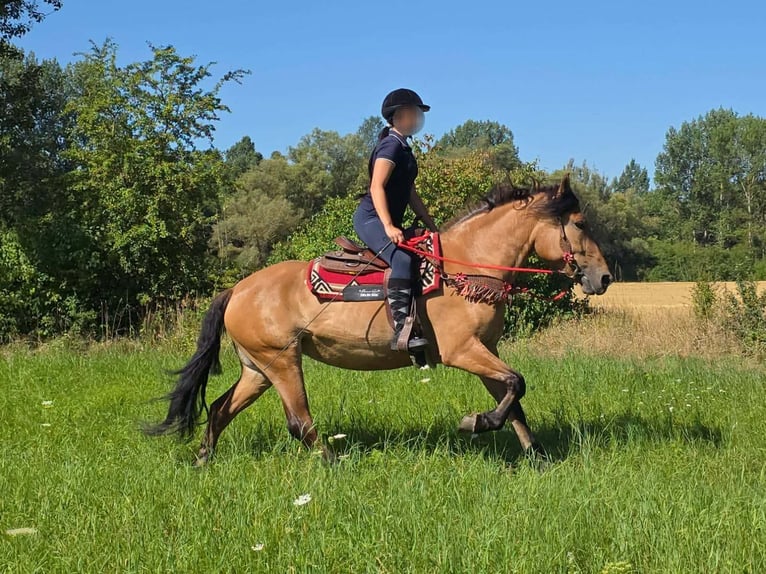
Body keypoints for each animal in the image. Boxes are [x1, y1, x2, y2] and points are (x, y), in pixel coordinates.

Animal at [145, 174, 613, 464]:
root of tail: (237, 290)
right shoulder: (462, 351)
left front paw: (537, 458)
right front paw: (475, 422)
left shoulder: (485, 350)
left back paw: (203, 460)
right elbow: (517, 383)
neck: (466, 267)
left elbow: (514, 400)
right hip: (283, 362)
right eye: (579, 223)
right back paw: (333, 463)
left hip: (258, 368)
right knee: (299, 422)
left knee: (219, 409)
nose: (604, 277)